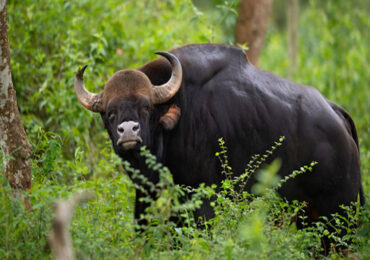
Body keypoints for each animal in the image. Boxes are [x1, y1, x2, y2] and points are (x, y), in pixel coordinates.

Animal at [73, 42, 364, 230]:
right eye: (110, 113)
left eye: (146, 106)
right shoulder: (147, 196)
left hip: (341, 212)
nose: (128, 131)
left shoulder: (203, 199)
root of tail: (336, 114)